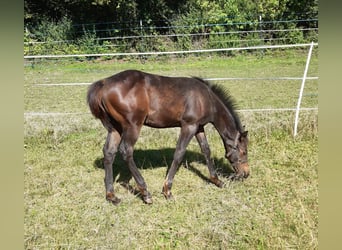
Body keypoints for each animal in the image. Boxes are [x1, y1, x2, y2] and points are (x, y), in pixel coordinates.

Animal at [87, 69, 248, 204]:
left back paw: (111, 196)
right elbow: (179, 153)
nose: (246, 174)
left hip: (115, 129)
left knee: (109, 152)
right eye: (244, 151)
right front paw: (167, 190)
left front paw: (217, 180)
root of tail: (103, 84)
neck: (205, 98)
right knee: (126, 151)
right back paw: (145, 193)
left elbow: (206, 150)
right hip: (132, 126)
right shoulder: (188, 126)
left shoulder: (199, 127)